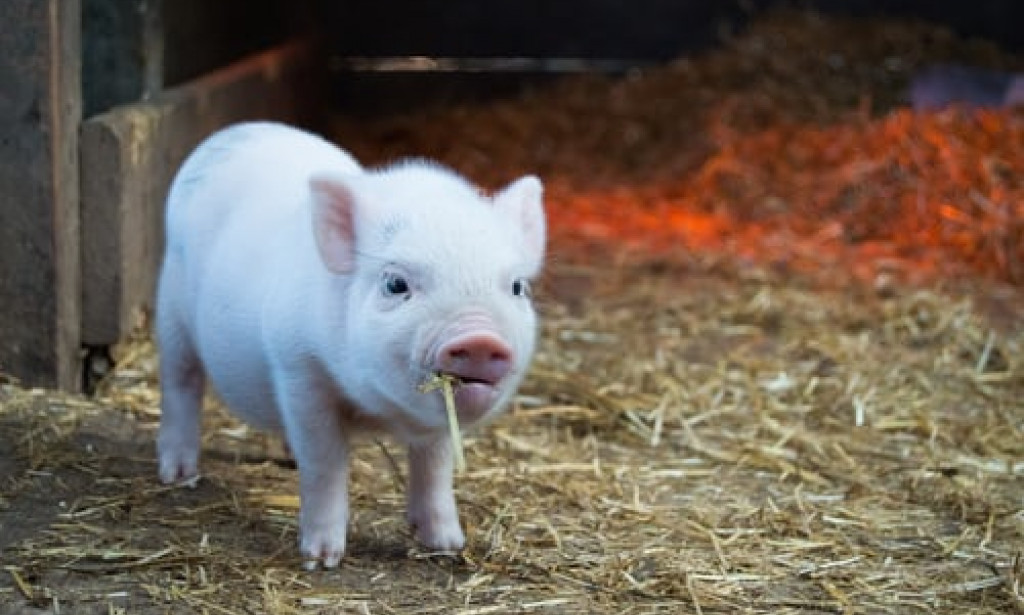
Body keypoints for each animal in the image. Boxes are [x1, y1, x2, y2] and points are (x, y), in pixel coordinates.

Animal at [155, 121, 545, 568]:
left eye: (517, 287)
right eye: (396, 284)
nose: (479, 338)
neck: (379, 410)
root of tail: (235, 132)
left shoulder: (435, 425)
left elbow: (434, 466)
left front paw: (447, 546)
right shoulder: (298, 369)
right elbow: (325, 463)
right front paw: (322, 559)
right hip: (171, 309)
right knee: (181, 382)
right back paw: (178, 475)